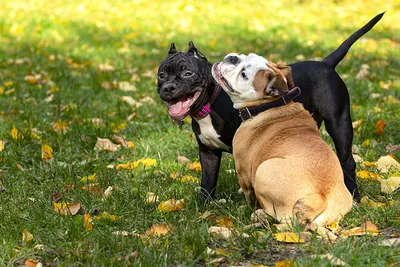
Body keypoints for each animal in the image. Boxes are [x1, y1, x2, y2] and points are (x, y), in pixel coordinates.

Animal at [157, 12, 384, 201]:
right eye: (161, 75)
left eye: (187, 73)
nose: (168, 88)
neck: (211, 102)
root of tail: (326, 63)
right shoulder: (208, 152)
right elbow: (207, 182)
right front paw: (203, 207)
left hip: (339, 123)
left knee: (347, 161)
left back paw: (353, 197)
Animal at [211, 53, 352, 227]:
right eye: (245, 56)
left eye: (244, 74)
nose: (233, 58)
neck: (268, 104)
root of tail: (320, 198)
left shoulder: (243, 171)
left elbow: (248, 194)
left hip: (263, 170)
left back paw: (259, 216)